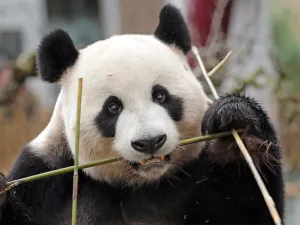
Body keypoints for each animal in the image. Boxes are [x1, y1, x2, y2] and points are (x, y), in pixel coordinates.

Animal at [0, 3, 284, 225]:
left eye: (161, 96)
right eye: (112, 107)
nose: (149, 142)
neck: (139, 184)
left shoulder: (199, 173)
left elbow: (250, 211)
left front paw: (237, 125)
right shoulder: (44, 180)